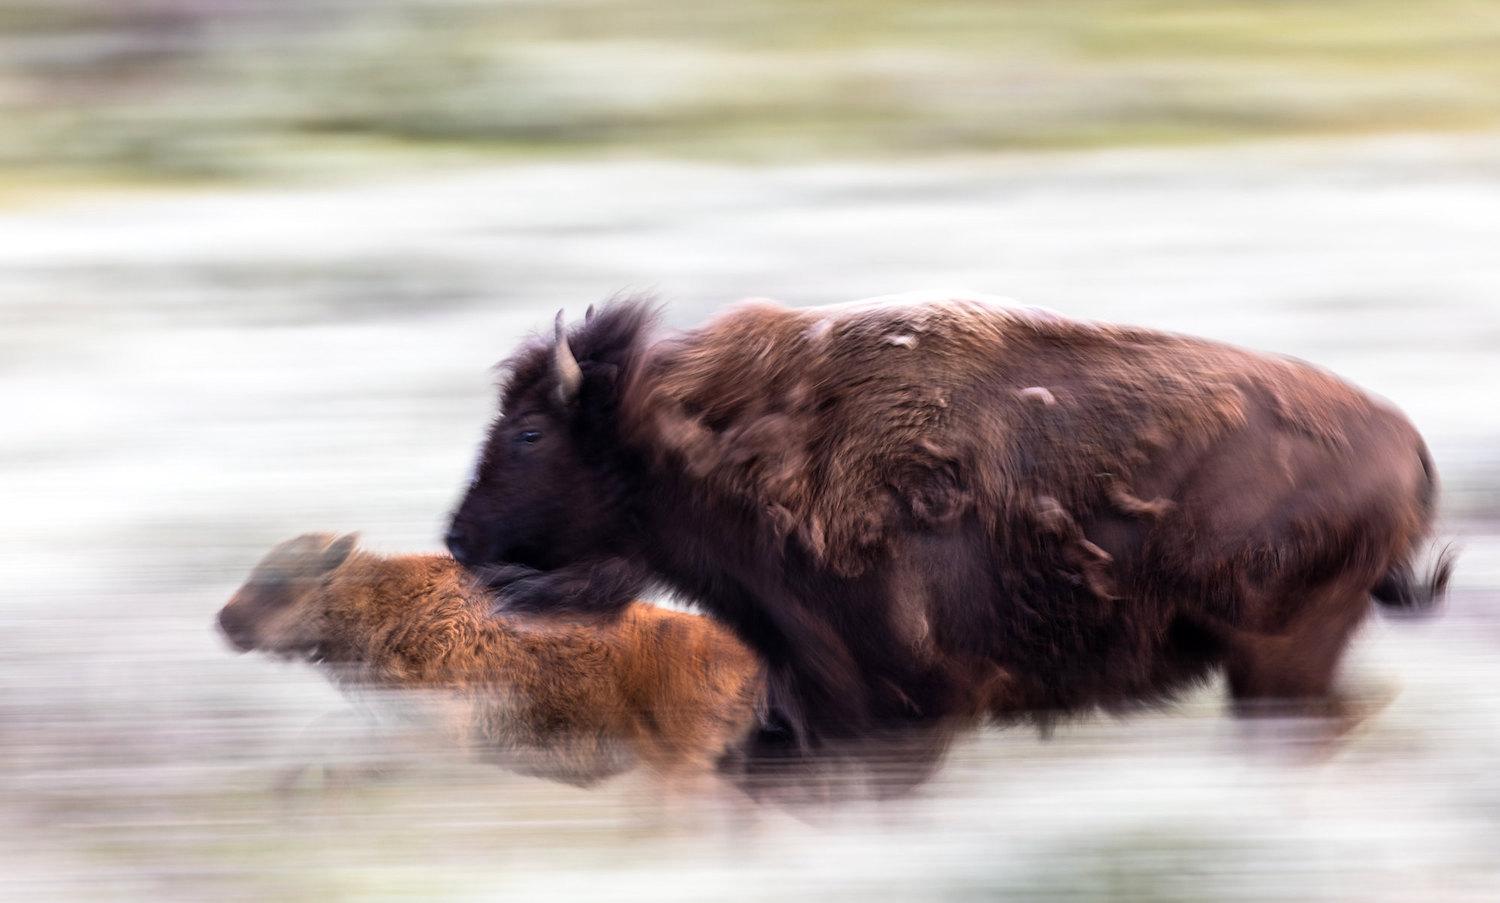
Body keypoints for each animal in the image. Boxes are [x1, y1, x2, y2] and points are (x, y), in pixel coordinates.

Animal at [447, 294, 1452, 753]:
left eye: (530, 431)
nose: (458, 539)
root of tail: (1406, 441)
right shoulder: (808, 699)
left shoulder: (893, 708)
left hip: (1280, 658)